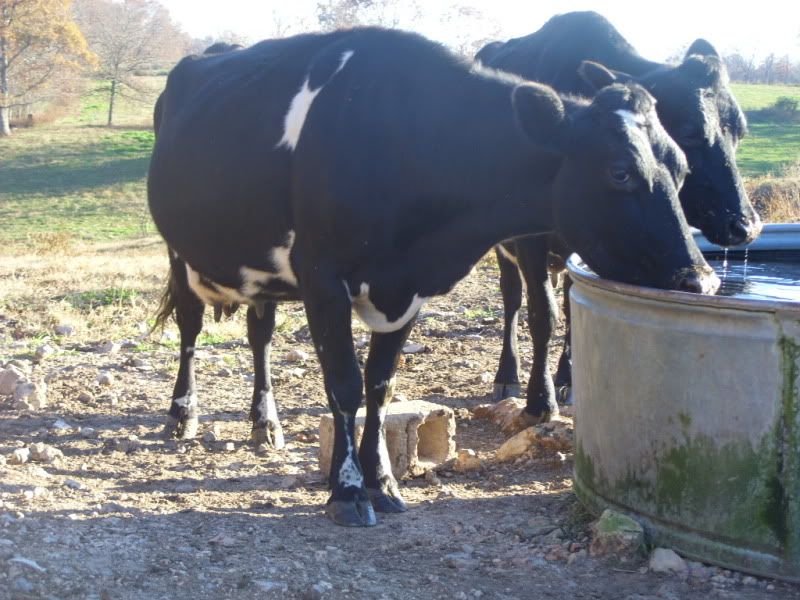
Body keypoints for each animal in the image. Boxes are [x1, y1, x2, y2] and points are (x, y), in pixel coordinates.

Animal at [148, 27, 717, 526]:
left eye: (681, 168)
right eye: (619, 171)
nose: (703, 281)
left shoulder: (411, 288)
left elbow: (380, 385)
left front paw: (382, 481)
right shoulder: (323, 275)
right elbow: (343, 384)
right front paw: (347, 492)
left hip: (258, 265)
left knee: (260, 333)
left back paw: (265, 421)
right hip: (179, 250)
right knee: (191, 327)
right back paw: (182, 414)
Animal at [476, 11, 762, 424]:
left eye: (740, 132)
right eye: (691, 133)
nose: (746, 226)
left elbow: (570, 309)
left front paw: (569, 380)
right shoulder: (531, 240)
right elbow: (542, 313)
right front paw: (540, 398)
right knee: (511, 298)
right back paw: (507, 375)